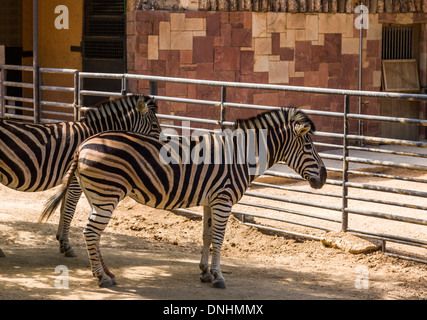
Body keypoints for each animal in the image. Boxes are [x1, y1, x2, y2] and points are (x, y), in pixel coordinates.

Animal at [0, 94, 161, 256]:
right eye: (155, 125)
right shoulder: (75, 180)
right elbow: (69, 210)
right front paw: (66, 245)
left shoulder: (69, 179)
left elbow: (63, 208)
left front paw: (61, 240)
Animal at [40, 107, 328, 288]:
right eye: (308, 146)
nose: (324, 177)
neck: (238, 157)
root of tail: (83, 144)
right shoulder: (223, 200)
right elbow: (219, 239)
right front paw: (218, 276)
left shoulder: (211, 201)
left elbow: (207, 236)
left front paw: (205, 272)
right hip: (107, 194)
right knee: (90, 232)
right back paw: (102, 277)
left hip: (97, 195)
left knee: (94, 233)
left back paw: (106, 271)